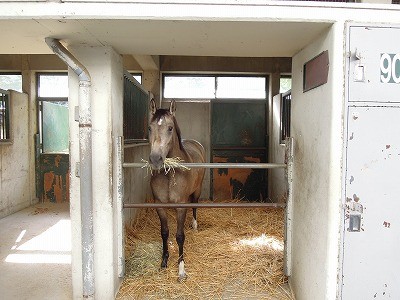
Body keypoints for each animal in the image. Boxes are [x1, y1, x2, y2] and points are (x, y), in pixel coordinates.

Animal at [148, 99, 206, 282]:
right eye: (150, 128)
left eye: (170, 128)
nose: (155, 159)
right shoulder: (159, 205)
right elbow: (165, 232)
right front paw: (164, 261)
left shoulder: (181, 206)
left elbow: (180, 236)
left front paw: (181, 269)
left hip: (197, 191)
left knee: (195, 206)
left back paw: (194, 225)